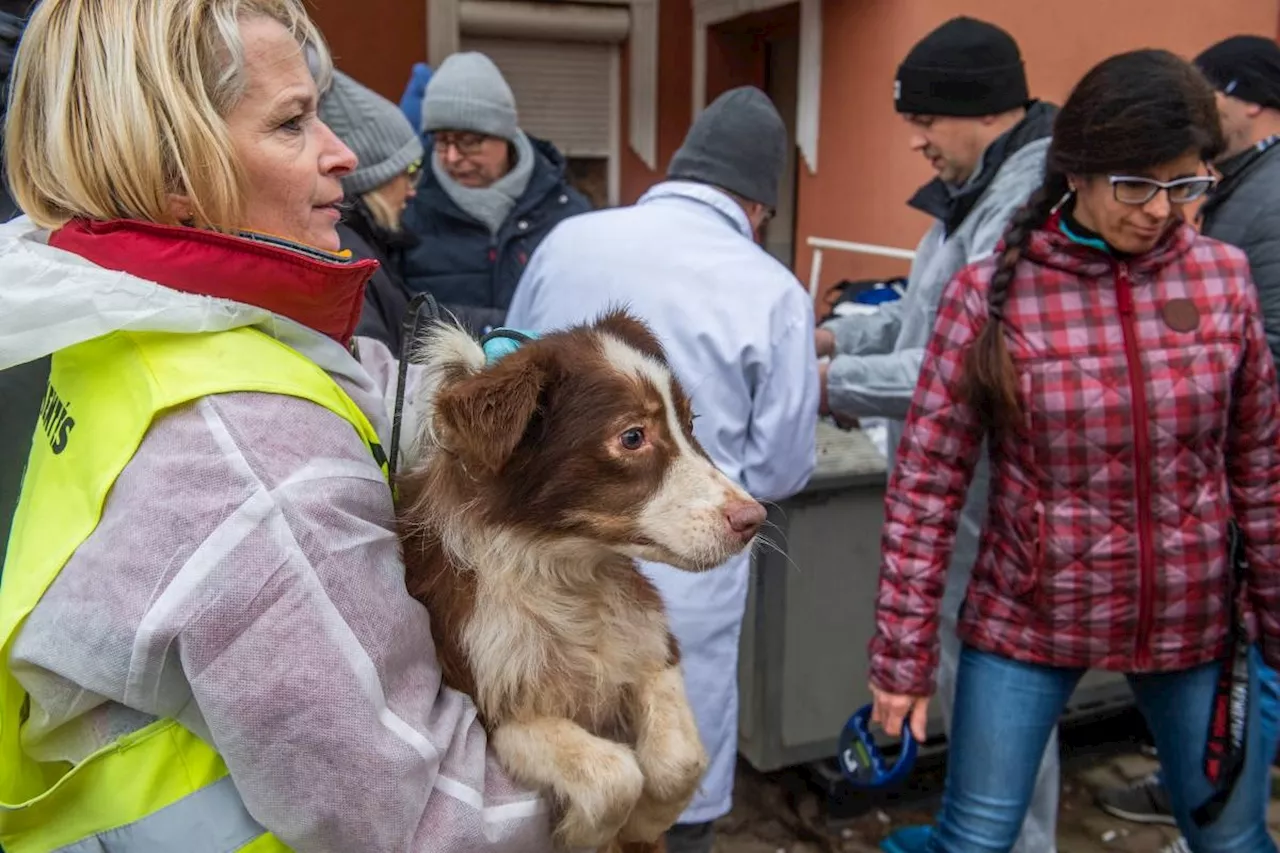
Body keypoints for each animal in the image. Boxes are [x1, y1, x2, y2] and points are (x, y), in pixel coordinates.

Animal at [394, 311, 762, 845]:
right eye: (633, 437)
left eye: (690, 424)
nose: (755, 519)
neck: (571, 573)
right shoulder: (491, 707)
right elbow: (614, 774)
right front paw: (588, 837)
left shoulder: (652, 647)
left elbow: (681, 760)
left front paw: (643, 826)